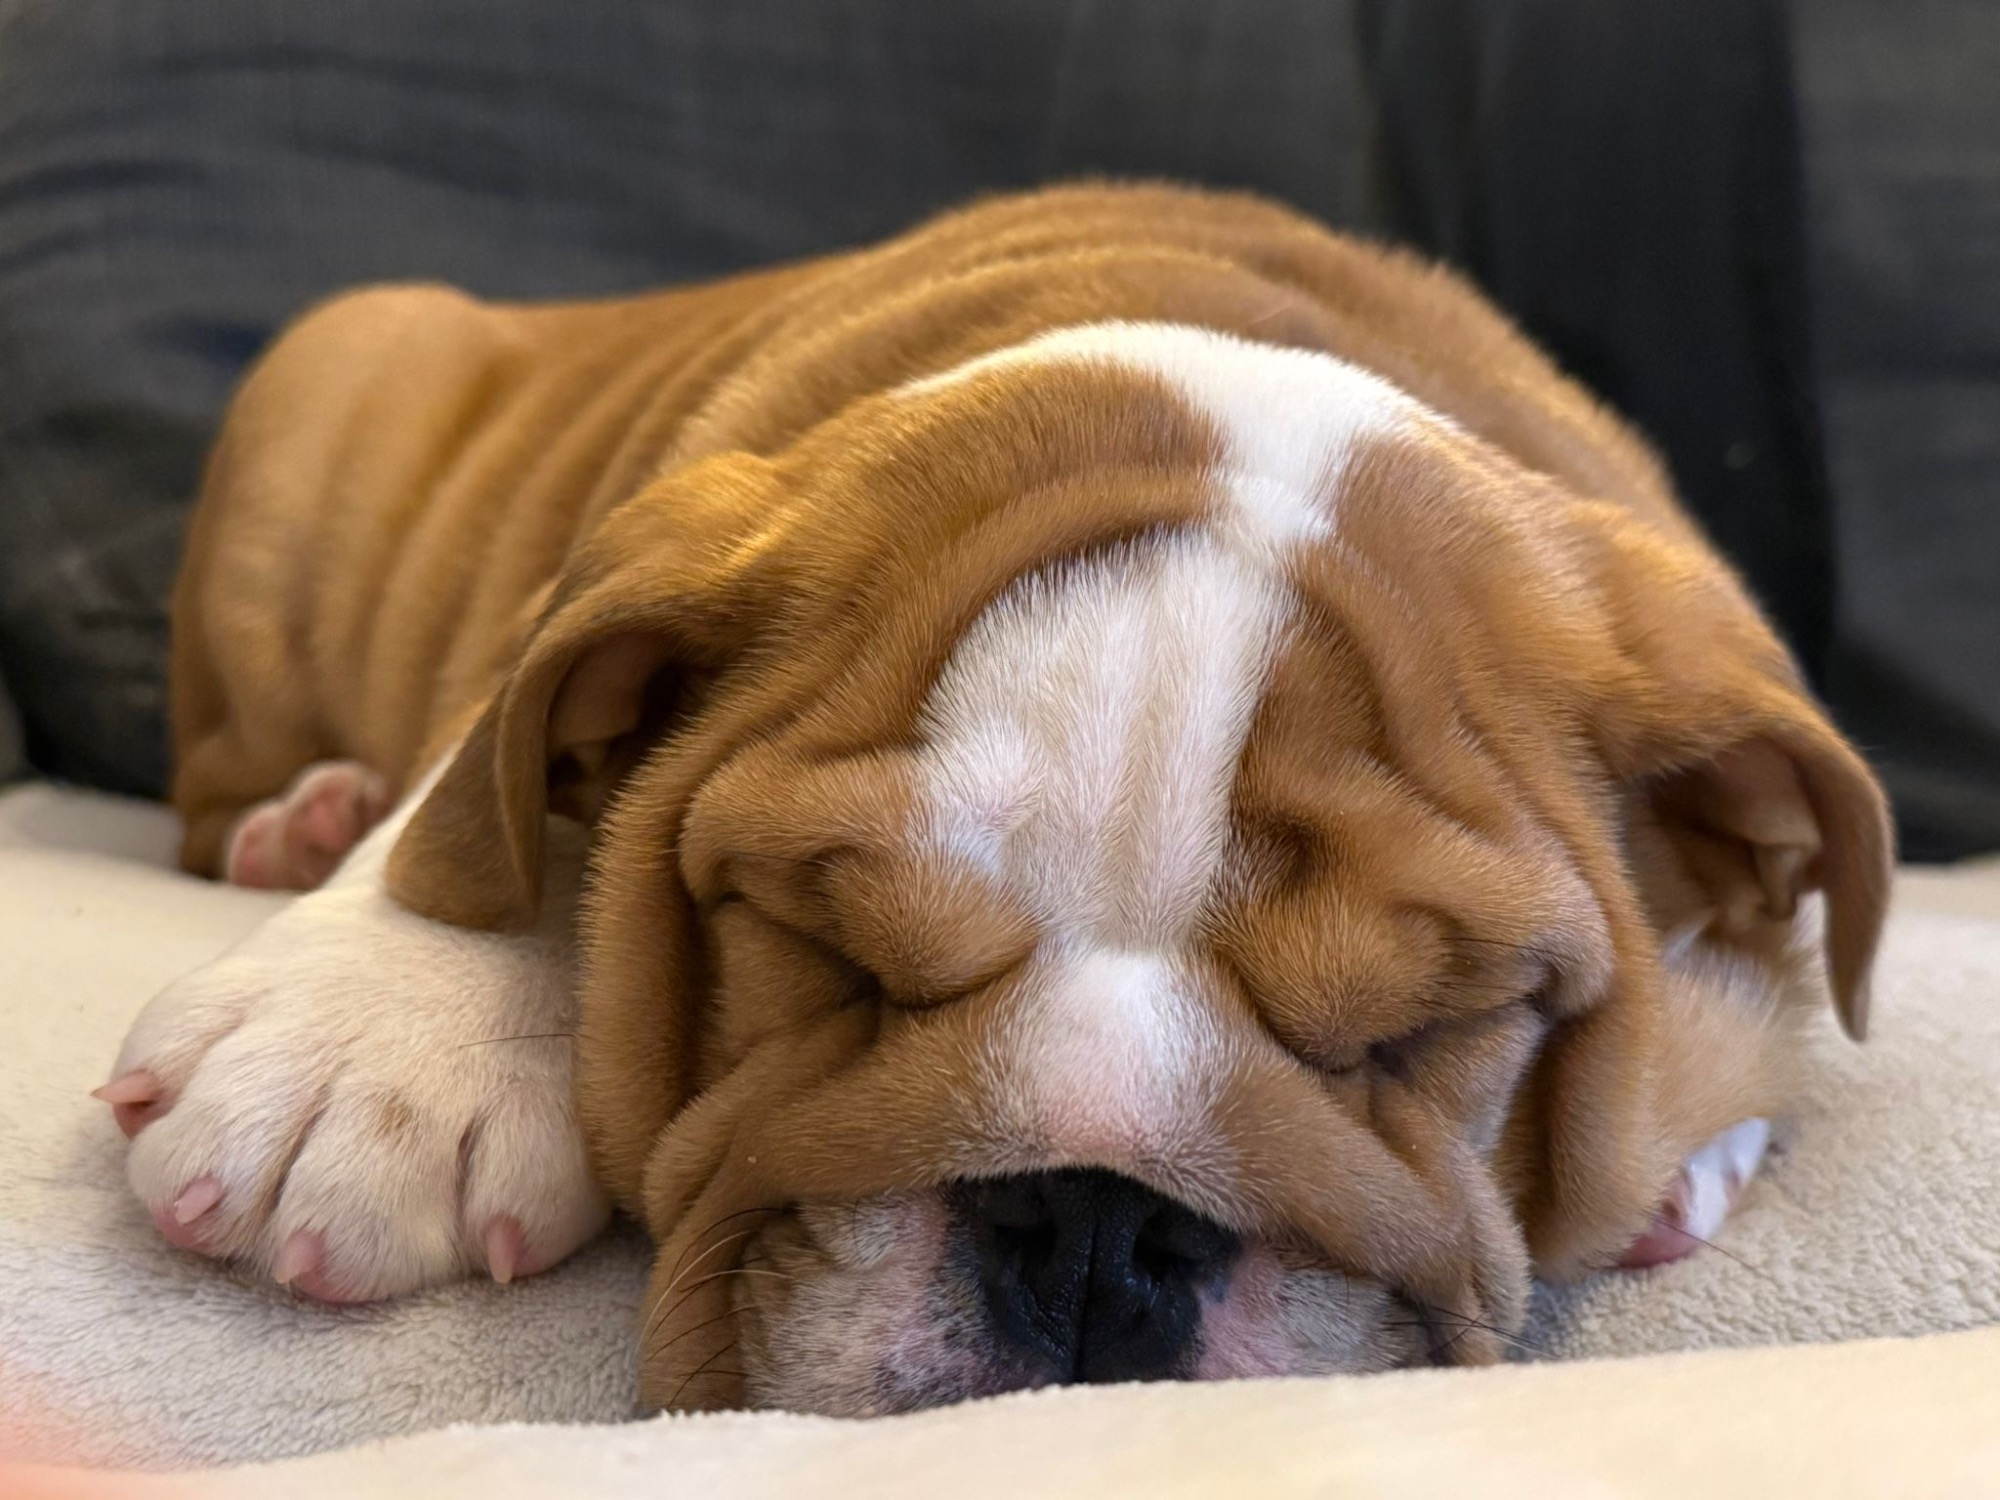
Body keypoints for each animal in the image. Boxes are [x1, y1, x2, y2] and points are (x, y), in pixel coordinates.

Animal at [96, 183, 1891, 1414]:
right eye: (826, 951)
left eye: (1425, 1033)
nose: (1096, 1225)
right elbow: (503, 785)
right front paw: (376, 1036)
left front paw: (1688, 1137)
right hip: (319, 402)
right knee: (221, 791)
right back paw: (303, 818)